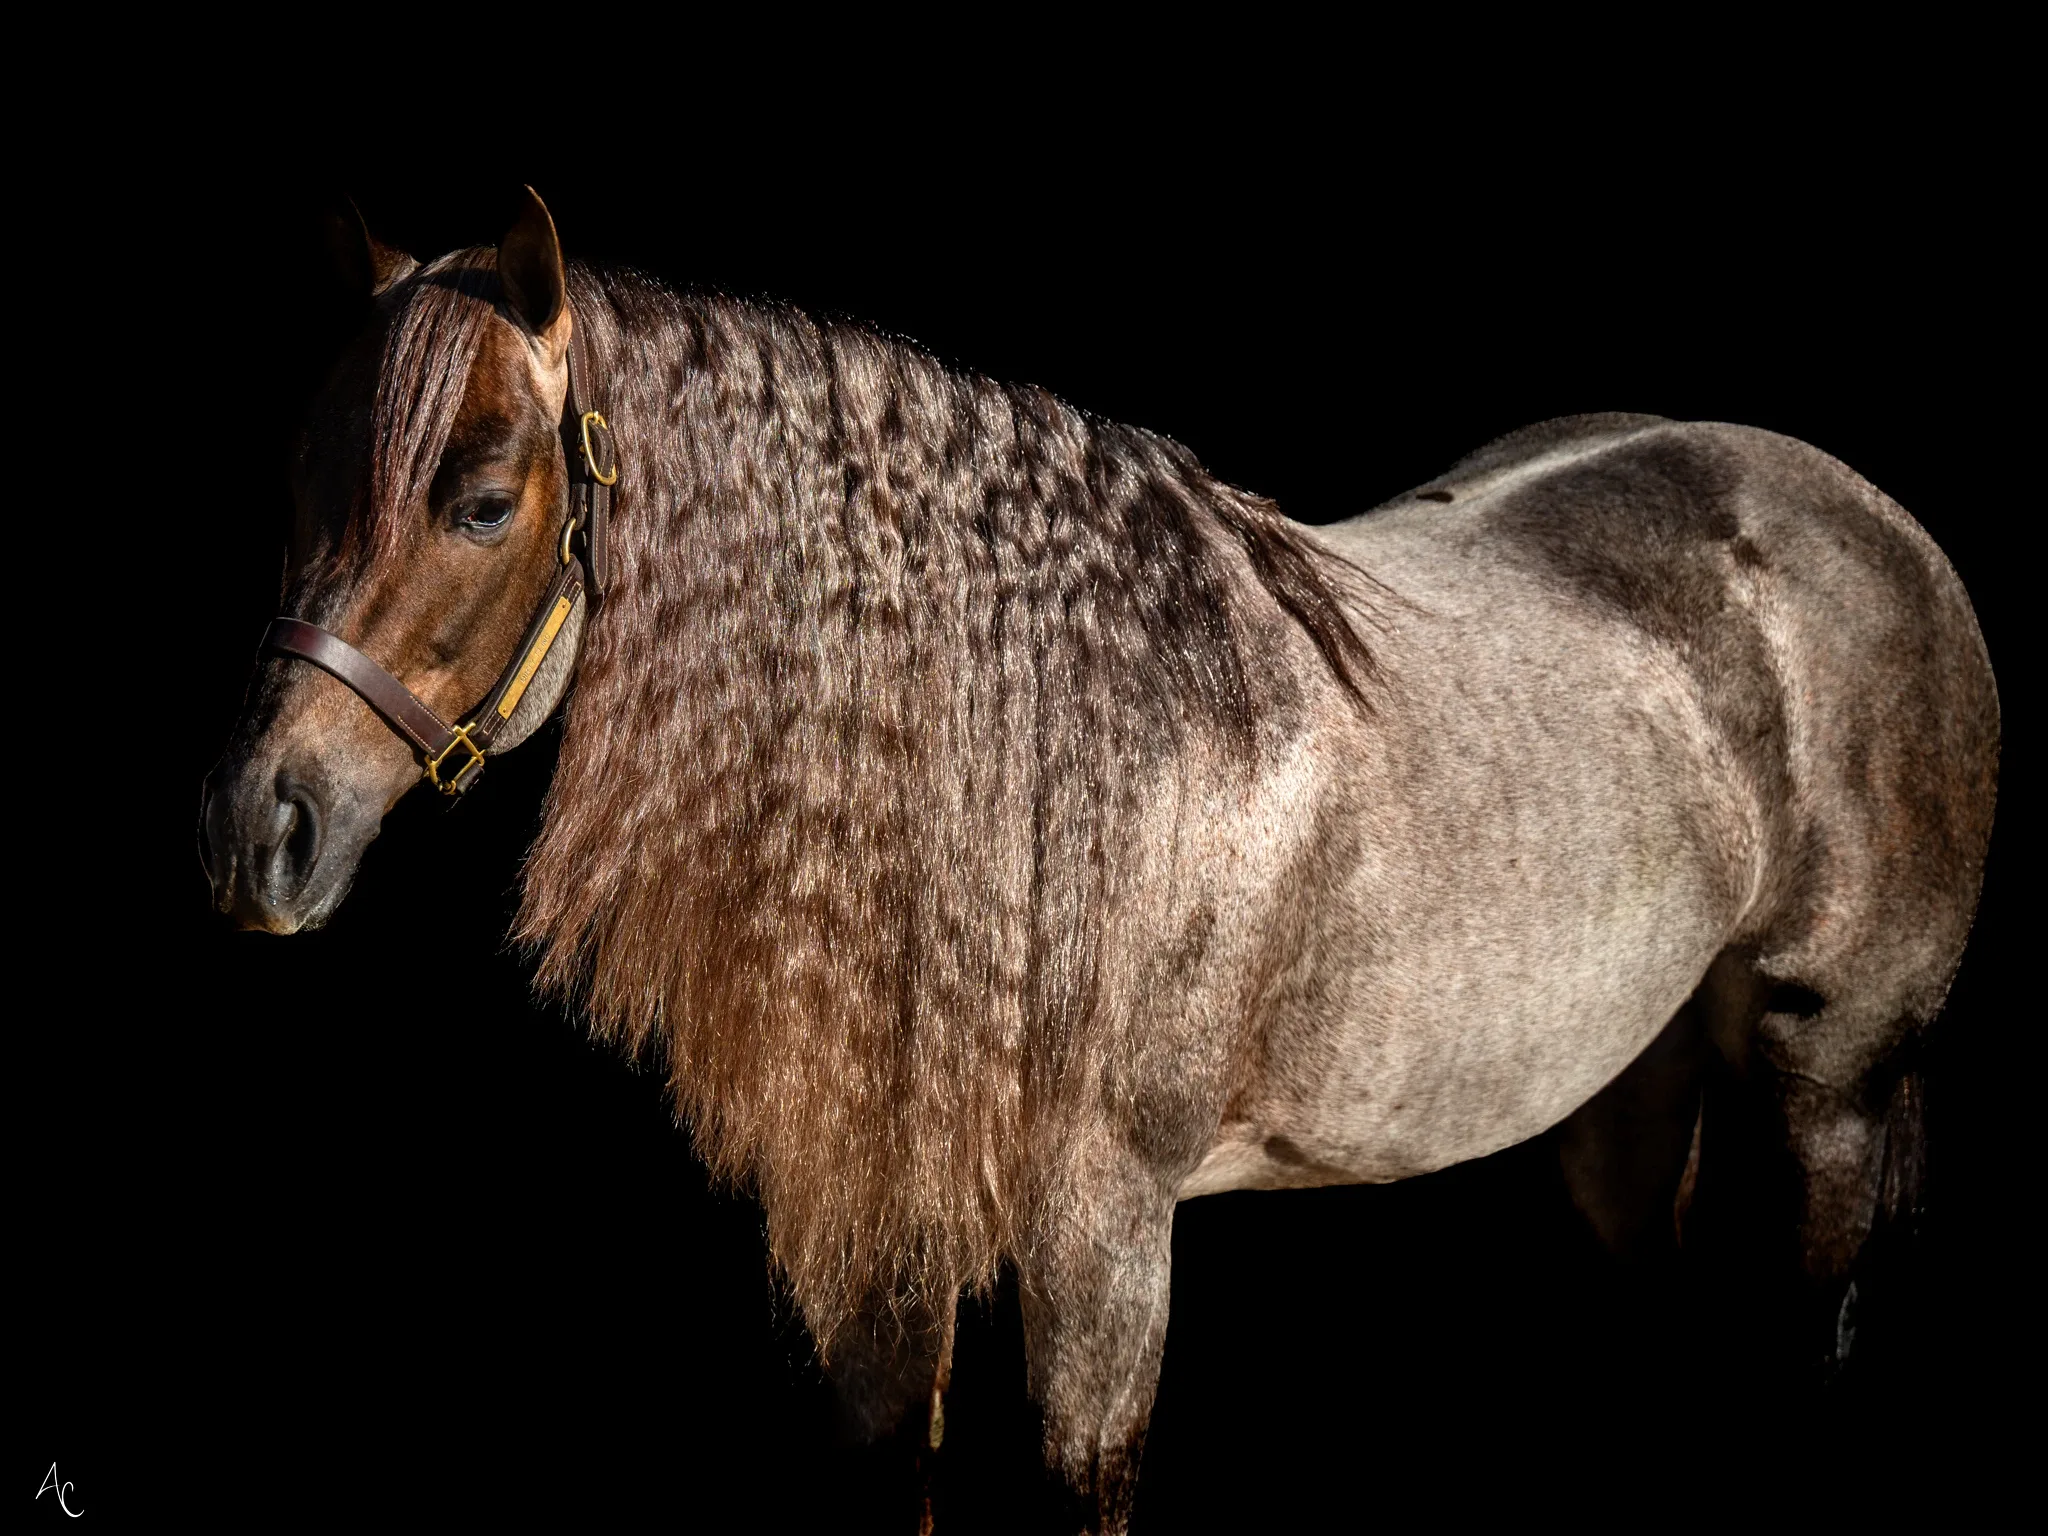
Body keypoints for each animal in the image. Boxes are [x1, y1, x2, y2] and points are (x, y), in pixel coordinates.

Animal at [199, 188, 1998, 1533]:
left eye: (484, 498)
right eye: (296, 475)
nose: (256, 826)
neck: (1044, 776)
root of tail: (1871, 521)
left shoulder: (1105, 1241)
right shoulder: (885, 1242)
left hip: (1829, 1089)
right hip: (1623, 1096)